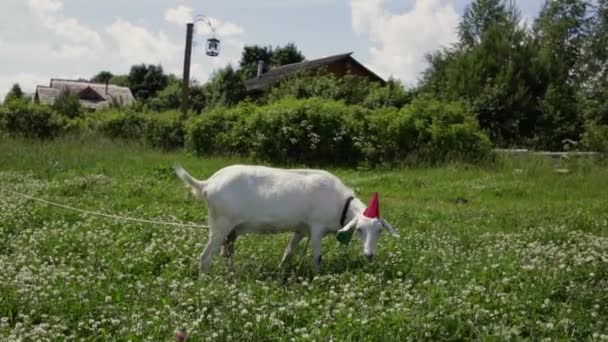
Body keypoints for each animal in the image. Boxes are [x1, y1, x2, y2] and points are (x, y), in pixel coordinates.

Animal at [175, 164, 400, 274]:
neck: (340, 203)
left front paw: (281, 269)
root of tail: (207, 184)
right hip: (220, 224)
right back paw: (205, 281)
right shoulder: (316, 227)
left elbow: (289, 251)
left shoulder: (301, 229)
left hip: (230, 228)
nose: (370, 255)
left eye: (380, 231)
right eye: (360, 230)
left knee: (227, 251)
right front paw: (318, 276)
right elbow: (317, 256)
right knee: (205, 256)